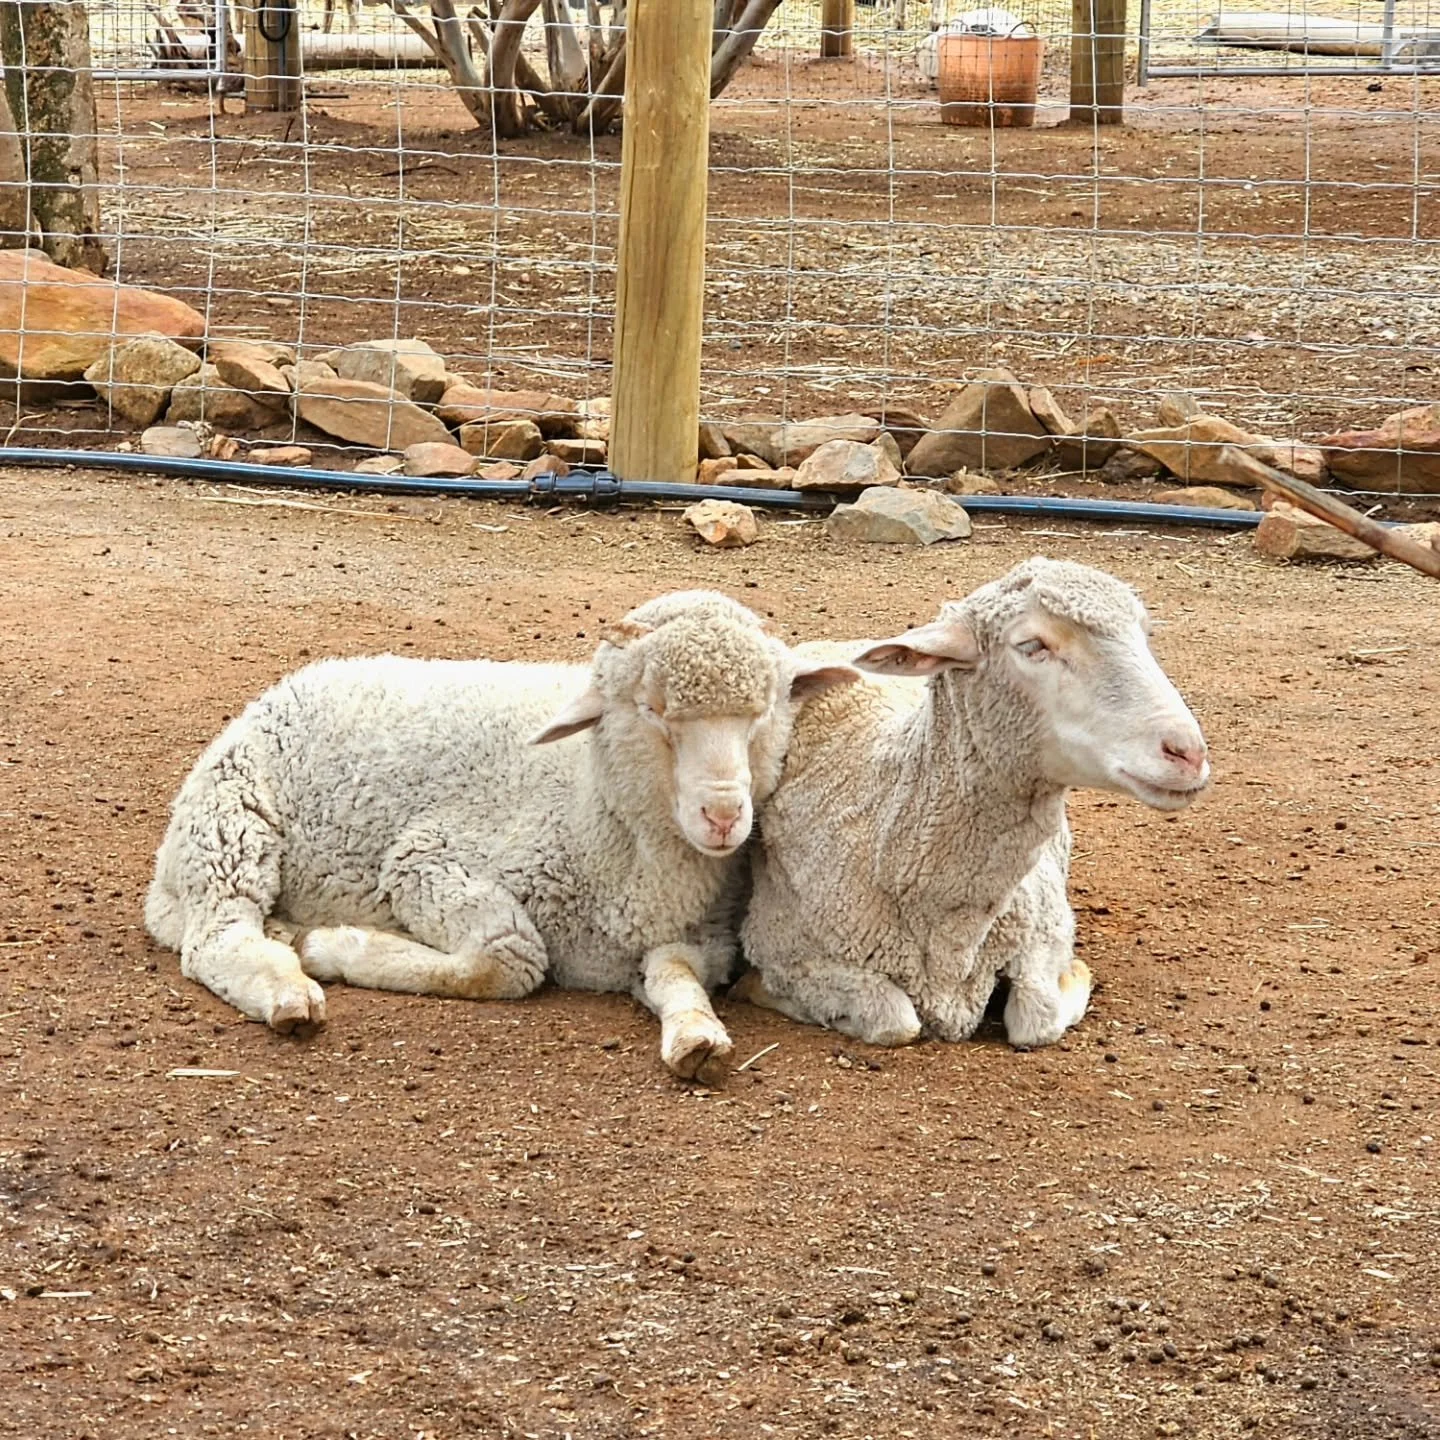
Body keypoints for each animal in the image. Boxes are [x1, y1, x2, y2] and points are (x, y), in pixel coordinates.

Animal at [145, 590, 858, 1083]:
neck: (592, 812)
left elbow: (676, 976)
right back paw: (289, 986)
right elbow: (509, 959)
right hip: (233, 822)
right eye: (651, 709)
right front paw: (335, 947)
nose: (724, 816)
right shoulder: (425, 861)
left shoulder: (694, 939)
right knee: (217, 939)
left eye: (765, 710)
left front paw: (696, 1037)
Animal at [732, 557, 1210, 1050]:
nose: (1188, 753)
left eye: (1144, 633)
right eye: (1032, 645)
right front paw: (764, 992)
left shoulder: (1046, 928)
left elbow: (1037, 1019)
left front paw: (1073, 976)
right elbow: (894, 1019)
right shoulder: (783, 946)